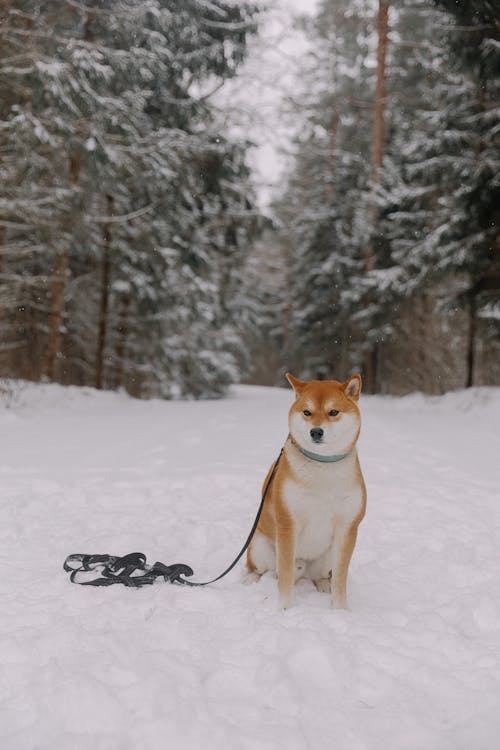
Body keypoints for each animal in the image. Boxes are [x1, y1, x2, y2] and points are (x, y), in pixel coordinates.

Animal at [247, 374, 368, 608]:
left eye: (333, 412)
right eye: (307, 412)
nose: (316, 431)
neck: (323, 466)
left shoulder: (347, 528)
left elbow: (340, 578)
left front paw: (340, 610)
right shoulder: (288, 524)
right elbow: (285, 576)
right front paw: (285, 608)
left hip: (326, 557)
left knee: (319, 575)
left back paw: (323, 585)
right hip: (258, 546)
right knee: (260, 569)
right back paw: (251, 580)